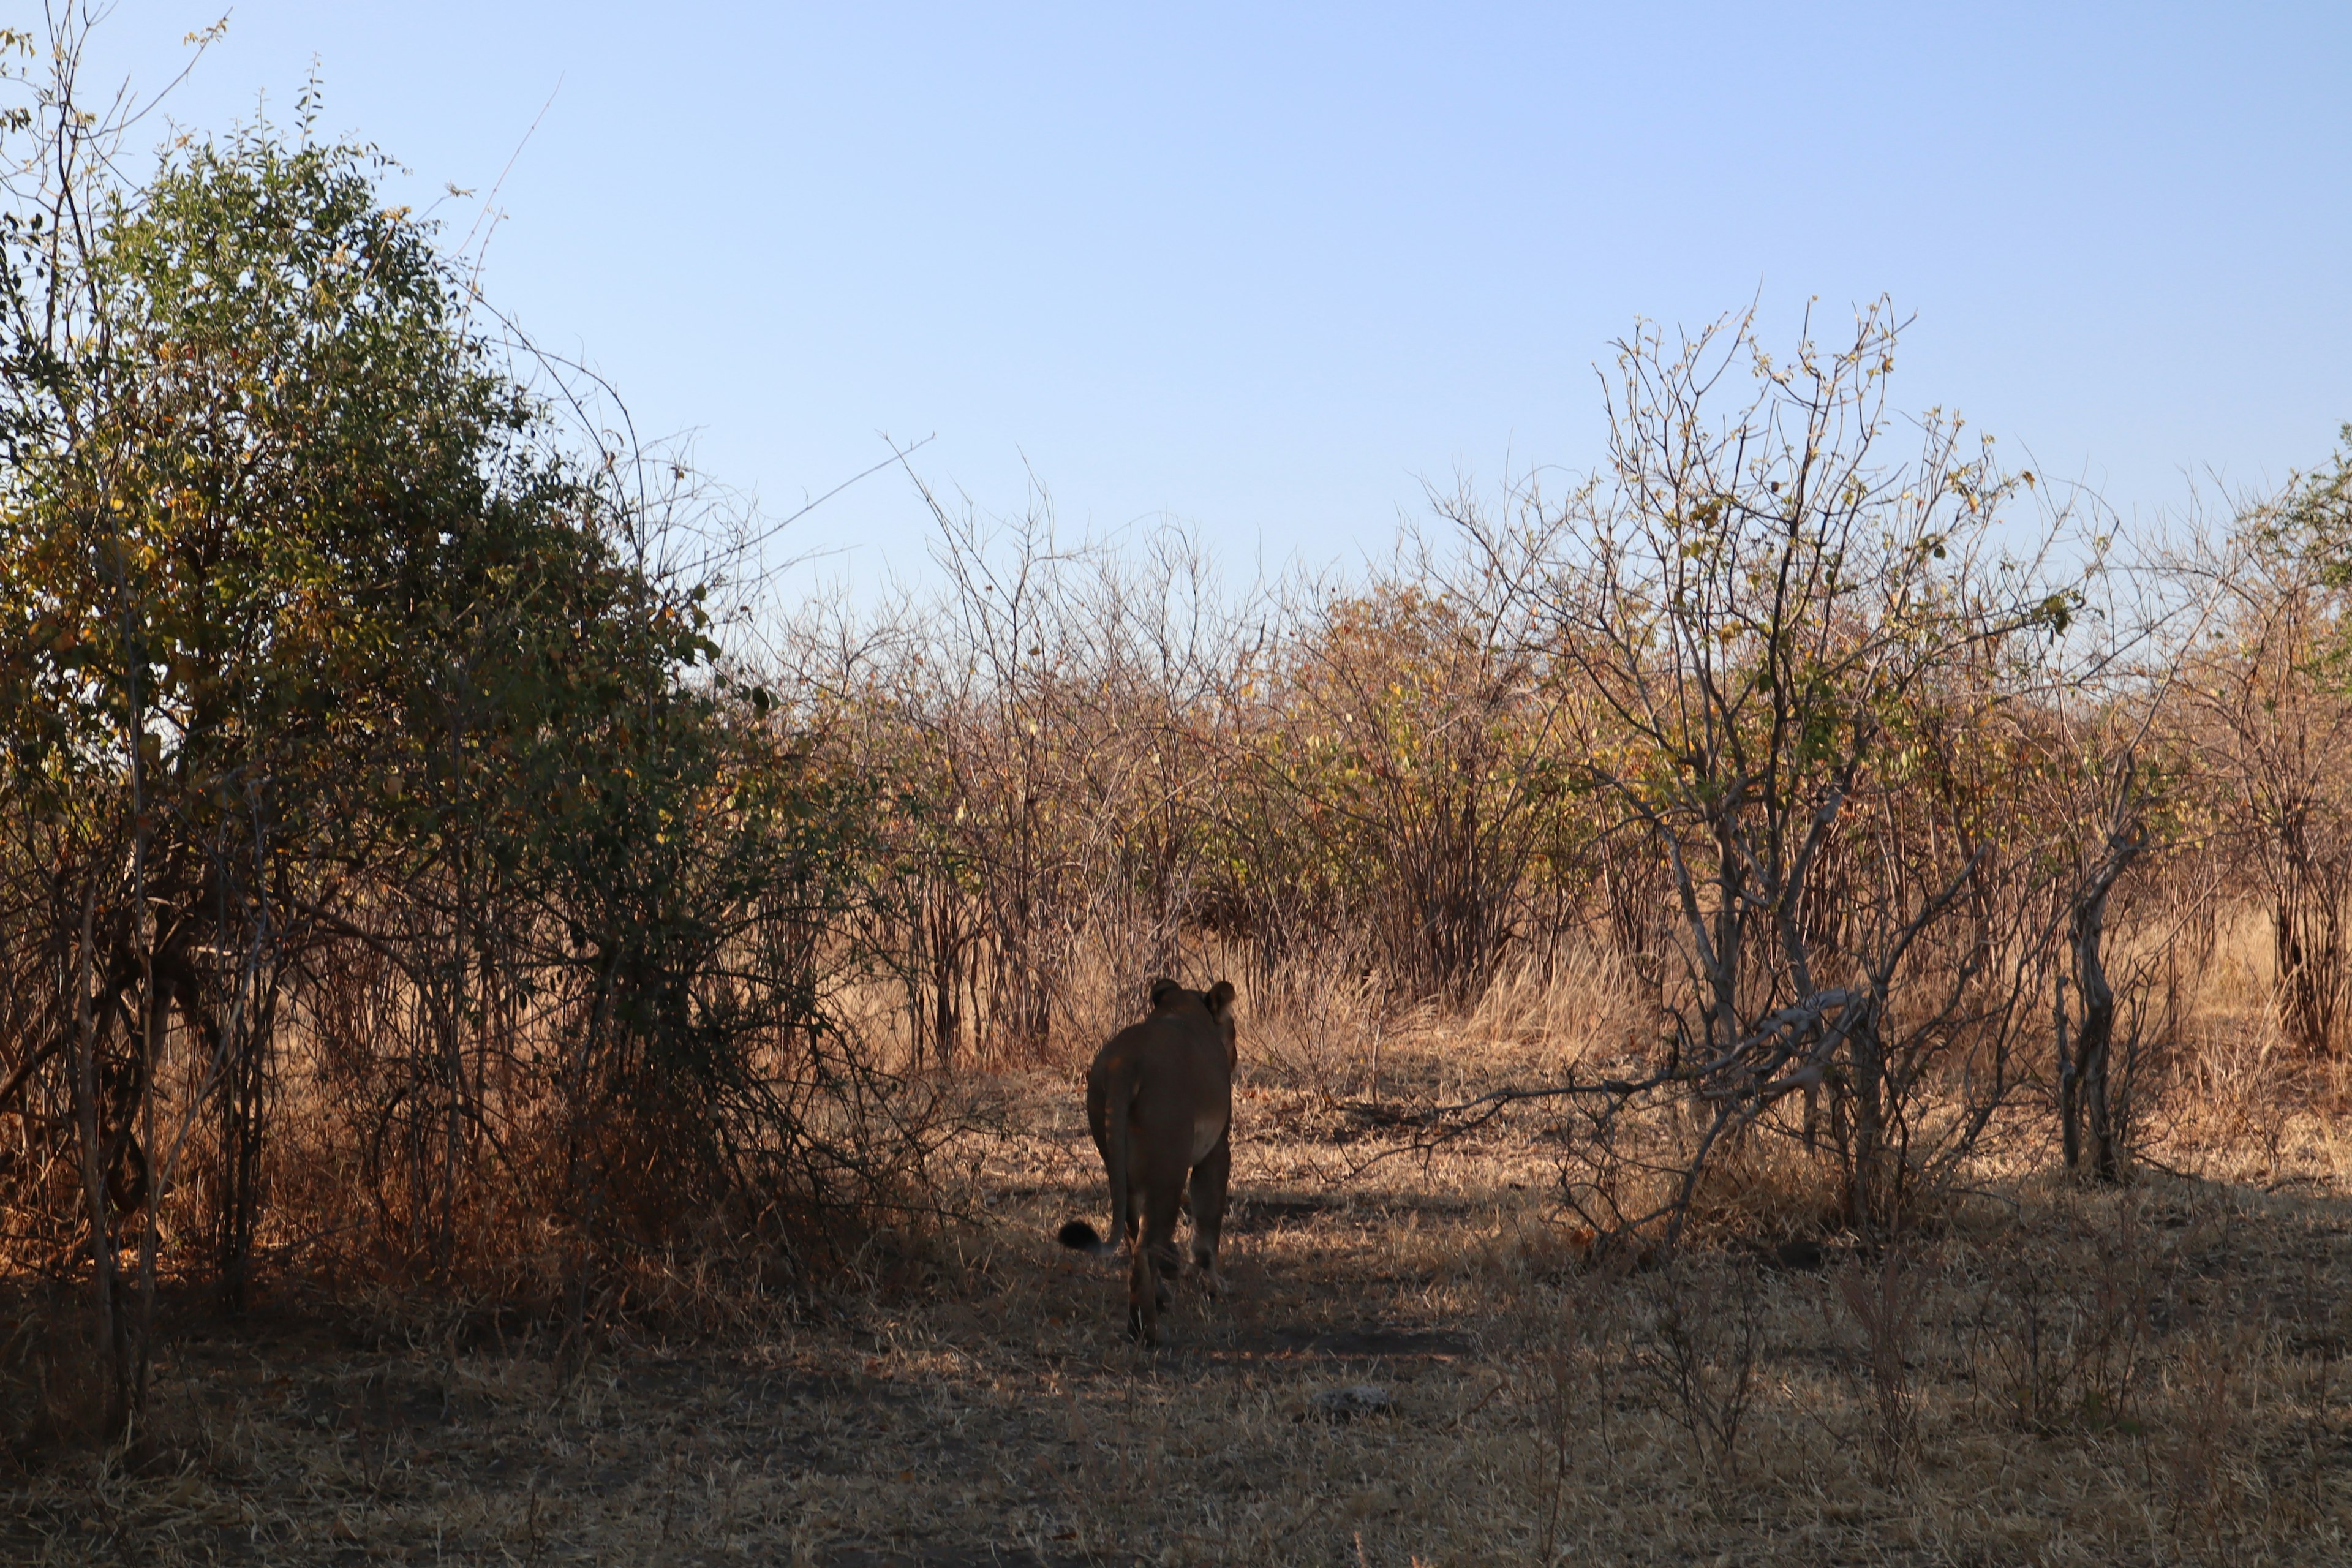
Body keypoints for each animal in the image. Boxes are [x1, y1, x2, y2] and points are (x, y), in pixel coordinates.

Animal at [1063, 973, 1242, 1344]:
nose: (1235, 1057)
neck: (1184, 1007)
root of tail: (1125, 1064)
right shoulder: (1216, 1150)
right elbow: (1208, 1224)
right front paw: (1214, 1285)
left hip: (1122, 1168)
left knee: (1134, 1237)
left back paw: (1154, 1306)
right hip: (1169, 1171)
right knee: (1145, 1245)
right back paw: (1148, 1333)